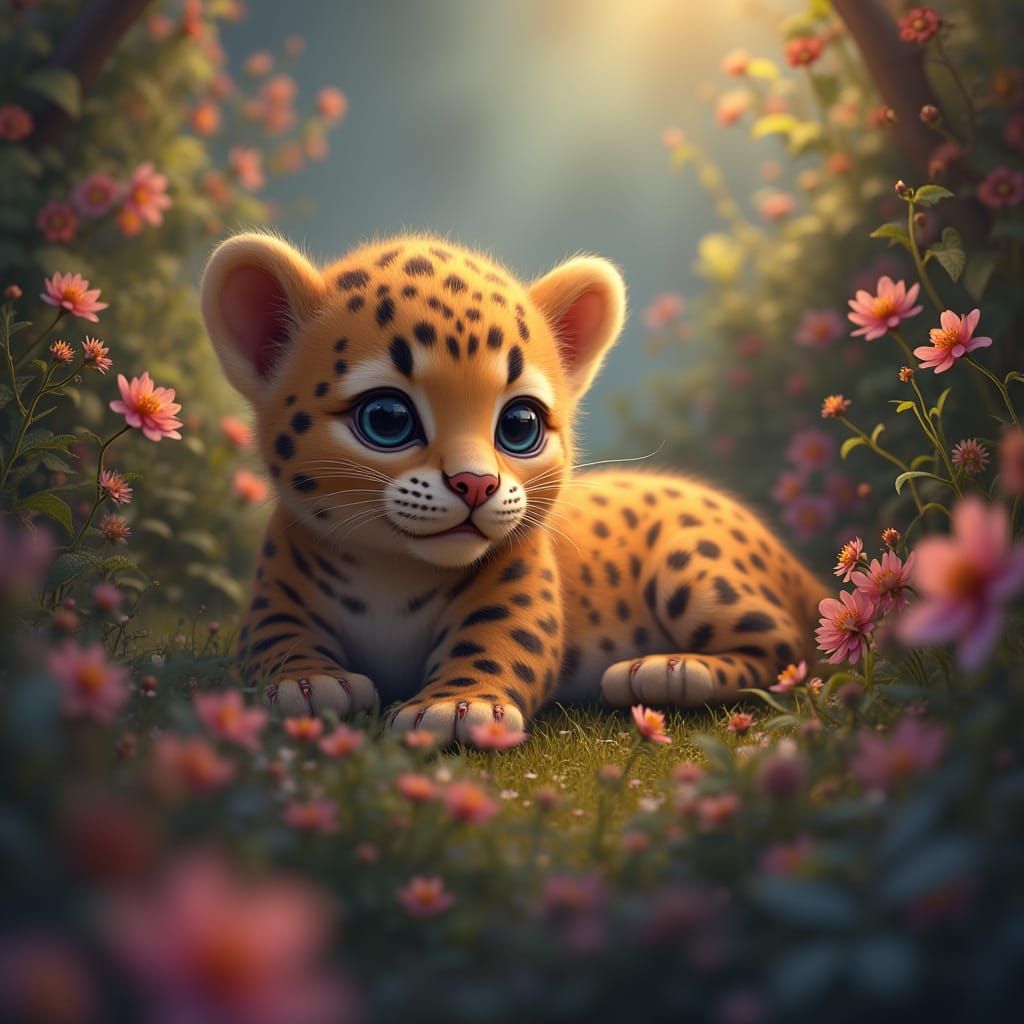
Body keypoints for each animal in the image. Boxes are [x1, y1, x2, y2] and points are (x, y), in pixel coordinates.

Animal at [200, 231, 826, 746]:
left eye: (519, 425)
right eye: (386, 418)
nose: (475, 483)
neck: (392, 570)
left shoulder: (519, 590)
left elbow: (501, 642)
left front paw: (456, 706)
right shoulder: (276, 587)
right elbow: (272, 635)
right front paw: (304, 684)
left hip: (695, 563)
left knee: (782, 645)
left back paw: (669, 669)